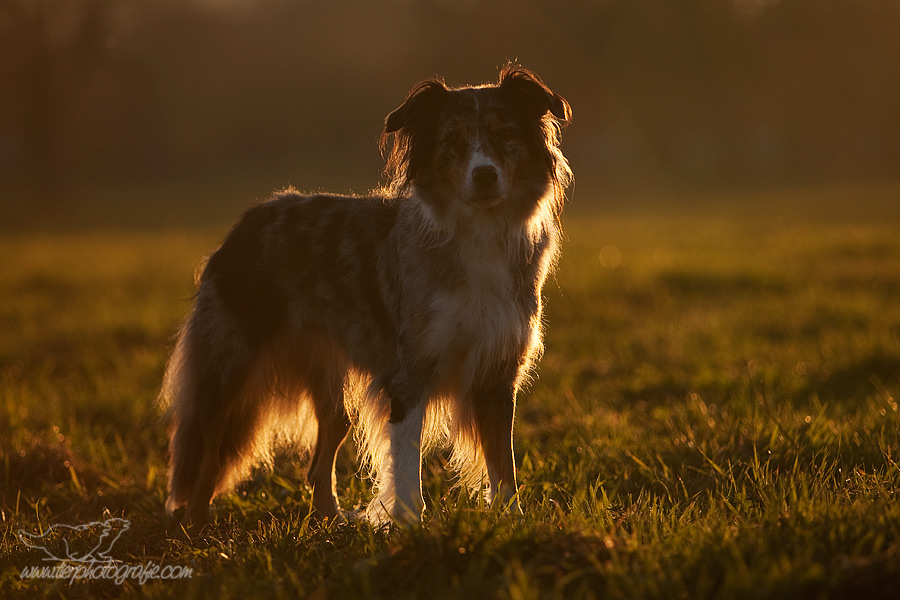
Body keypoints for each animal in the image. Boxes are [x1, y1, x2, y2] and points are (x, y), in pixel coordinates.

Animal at [160, 64, 568, 524]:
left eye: (505, 134)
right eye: (453, 140)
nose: (484, 175)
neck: (479, 235)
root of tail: (245, 222)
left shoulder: (497, 373)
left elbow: (504, 466)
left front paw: (512, 521)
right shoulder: (409, 375)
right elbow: (407, 468)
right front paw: (409, 526)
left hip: (329, 383)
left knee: (320, 456)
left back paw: (329, 519)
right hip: (229, 369)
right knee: (208, 450)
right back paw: (196, 521)